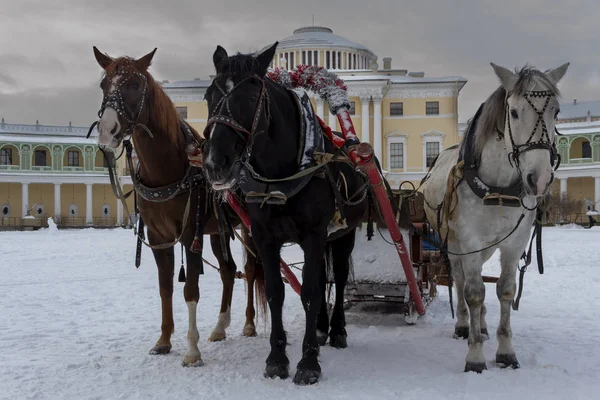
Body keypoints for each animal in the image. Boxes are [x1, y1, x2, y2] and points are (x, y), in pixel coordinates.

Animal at [91, 46, 264, 366]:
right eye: (103, 84)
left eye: (135, 84)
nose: (108, 129)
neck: (166, 169)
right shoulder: (159, 237)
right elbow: (166, 287)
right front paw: (163, 340)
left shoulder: (189, 235)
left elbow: (190, 289)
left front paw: (192, 350)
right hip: (217, 230)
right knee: (229, 270)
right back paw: (221, 326)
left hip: (248, 228)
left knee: (252, 269)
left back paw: (249, 323)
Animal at [202, 43, 370, 384]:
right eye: (208, 95)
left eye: (251, 97)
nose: (215, 165)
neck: (280, 176)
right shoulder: (264, 238)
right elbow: (278, 292)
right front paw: (277, 358)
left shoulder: (314, 235)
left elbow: (311, 292)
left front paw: (308, 363)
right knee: (320, 278)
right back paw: (320, 328)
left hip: (343, 236)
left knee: (338, 278)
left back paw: (337, 330)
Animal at [422, 61, 568, 372]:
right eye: (513, 112)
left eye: (556, 111)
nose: (539, 179)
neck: (499, 189)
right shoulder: (469, 241)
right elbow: (474, 291)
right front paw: (475, 355)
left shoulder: (514, 243)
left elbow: (505, 290)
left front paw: (505, 350)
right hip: (453, 244)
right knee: (460, 281)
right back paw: (465, 324)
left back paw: (483, 325)